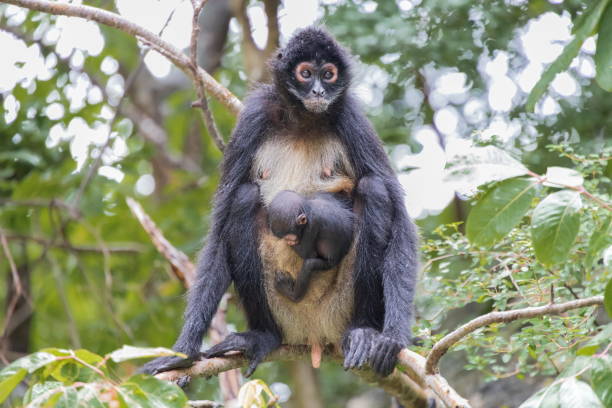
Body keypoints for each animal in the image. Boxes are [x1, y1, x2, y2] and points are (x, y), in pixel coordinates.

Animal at [142, 26, 420, 380]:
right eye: (305, 73)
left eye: (328, 74)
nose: (318, 90)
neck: (303, 120)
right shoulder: (255, 114)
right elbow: (219, 226)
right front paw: (182, 353)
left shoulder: (351, 117)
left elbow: (401, 218)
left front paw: (393, 338)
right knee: (243, 197)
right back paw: (262, 337)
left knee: (375, 189)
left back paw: (364, 332)